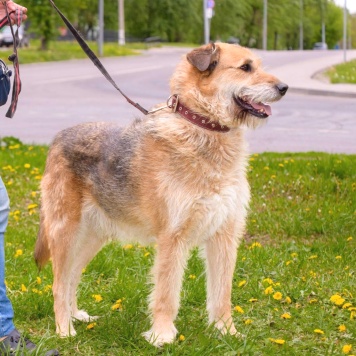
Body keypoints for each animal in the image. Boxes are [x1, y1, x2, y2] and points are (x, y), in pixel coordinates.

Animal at [34, 41, 288, 344]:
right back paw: (64, 329)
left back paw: (75, 316)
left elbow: (222, 292)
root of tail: (56, 139)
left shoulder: (225, 234)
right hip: (65, 231)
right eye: (245, 68)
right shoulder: (172, 237)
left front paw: (226, 330)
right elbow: (166, 293)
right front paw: (162, 335)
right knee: (58, 283)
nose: (285, 87)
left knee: (73, 275)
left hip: (93, 237)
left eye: (258, 65)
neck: (203, 126)